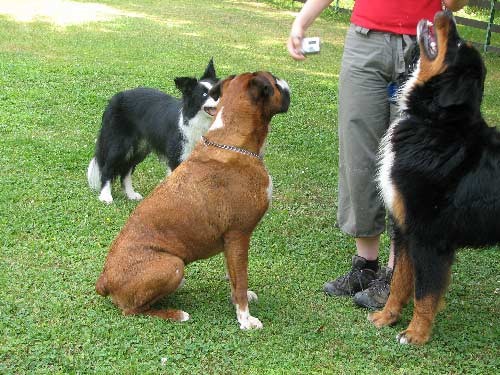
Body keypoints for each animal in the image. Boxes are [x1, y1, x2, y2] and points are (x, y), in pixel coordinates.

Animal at [94, 72, 290, 330]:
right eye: (275, 82)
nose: (286, 84)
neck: (233, 140)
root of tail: (104, 279)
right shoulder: (239, 235)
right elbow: (241, 277)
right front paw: (245, 318)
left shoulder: (230, 242)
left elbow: (234, 277)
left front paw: (240, 299)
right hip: (173, 264)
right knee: (133, 310)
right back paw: (177, 314)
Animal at [368, 10, 500, 346]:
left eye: (457, 42)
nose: (446, 12)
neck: (434, 123)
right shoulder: (405, 228)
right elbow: (400, 281)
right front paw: (386, 317)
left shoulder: (430, 235)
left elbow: (425, 293)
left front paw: (415, 334)